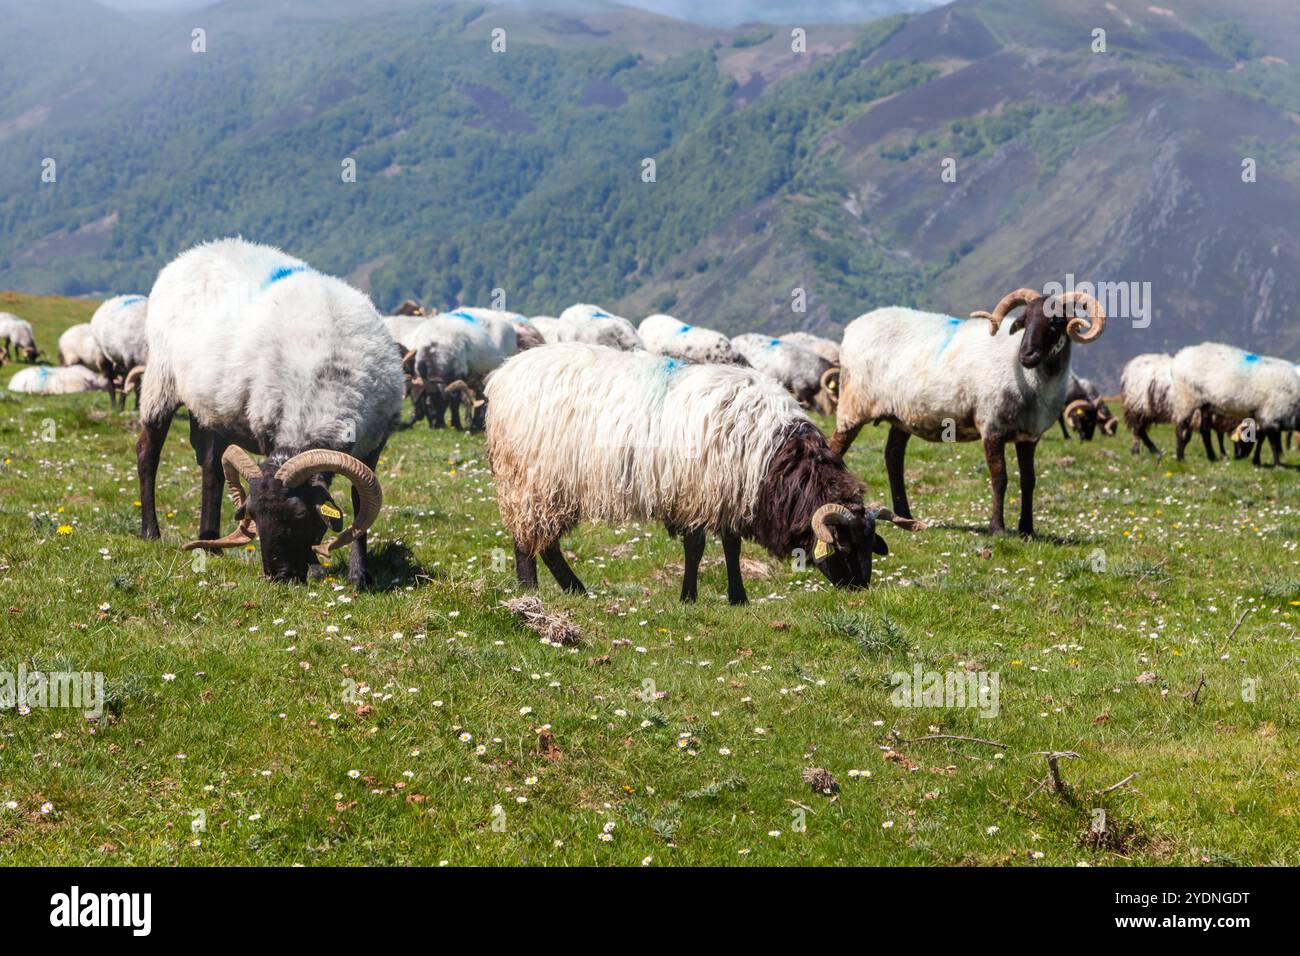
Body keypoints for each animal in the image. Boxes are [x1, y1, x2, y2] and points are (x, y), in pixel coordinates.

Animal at [135, 235, 403, 587]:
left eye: (300, 514)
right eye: (253, 514)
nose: (280, 576)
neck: (328, 378)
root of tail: (195, 251)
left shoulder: (373, 445)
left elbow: (361, 504)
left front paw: (360, 576)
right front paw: (317, 569)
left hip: (214, 409)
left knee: (211, 469)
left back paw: (211, 543)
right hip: (160, 379)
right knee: (147, 454)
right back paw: (150, 532)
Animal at [483, 343, 920, 606]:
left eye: (869, 545)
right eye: (843, 544)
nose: (859, 588)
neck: (775, 458)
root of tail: (503, 375)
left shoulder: (729, 493)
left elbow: (730, 547)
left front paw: (737, 597)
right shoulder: (696, 492)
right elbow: (696, 548)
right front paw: (690, 597)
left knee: (547, 543)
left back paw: (575, 589)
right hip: (529, 480)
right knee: (528, 541)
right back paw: (531, 592)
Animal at [832, 283, 1107, 538]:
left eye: (1056, 321)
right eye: (1025, 320)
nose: (1026, 355)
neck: (1034, 380)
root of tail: (852, 328)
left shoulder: (1029, 436)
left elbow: (1028, 480)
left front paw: (1027, 529)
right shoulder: (992, 426)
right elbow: (1000, 478)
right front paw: (997, 528)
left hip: (902, 415)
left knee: (893, 458)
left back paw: (905, 516)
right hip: (853, 406)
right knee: (836, 451)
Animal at [1170, 343, 1300, 465]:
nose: (1240, 457)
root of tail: (1180, 356)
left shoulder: (1264, 416)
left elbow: (1262, 439)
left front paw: (1257, 461)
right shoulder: (1270, 415)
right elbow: (1273, 443)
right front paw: (1277, 464)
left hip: (1205, 404)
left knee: (1204, 431)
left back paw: (1212, 457)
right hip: (1186, 398)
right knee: (1180, 428)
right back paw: (1180, 458)